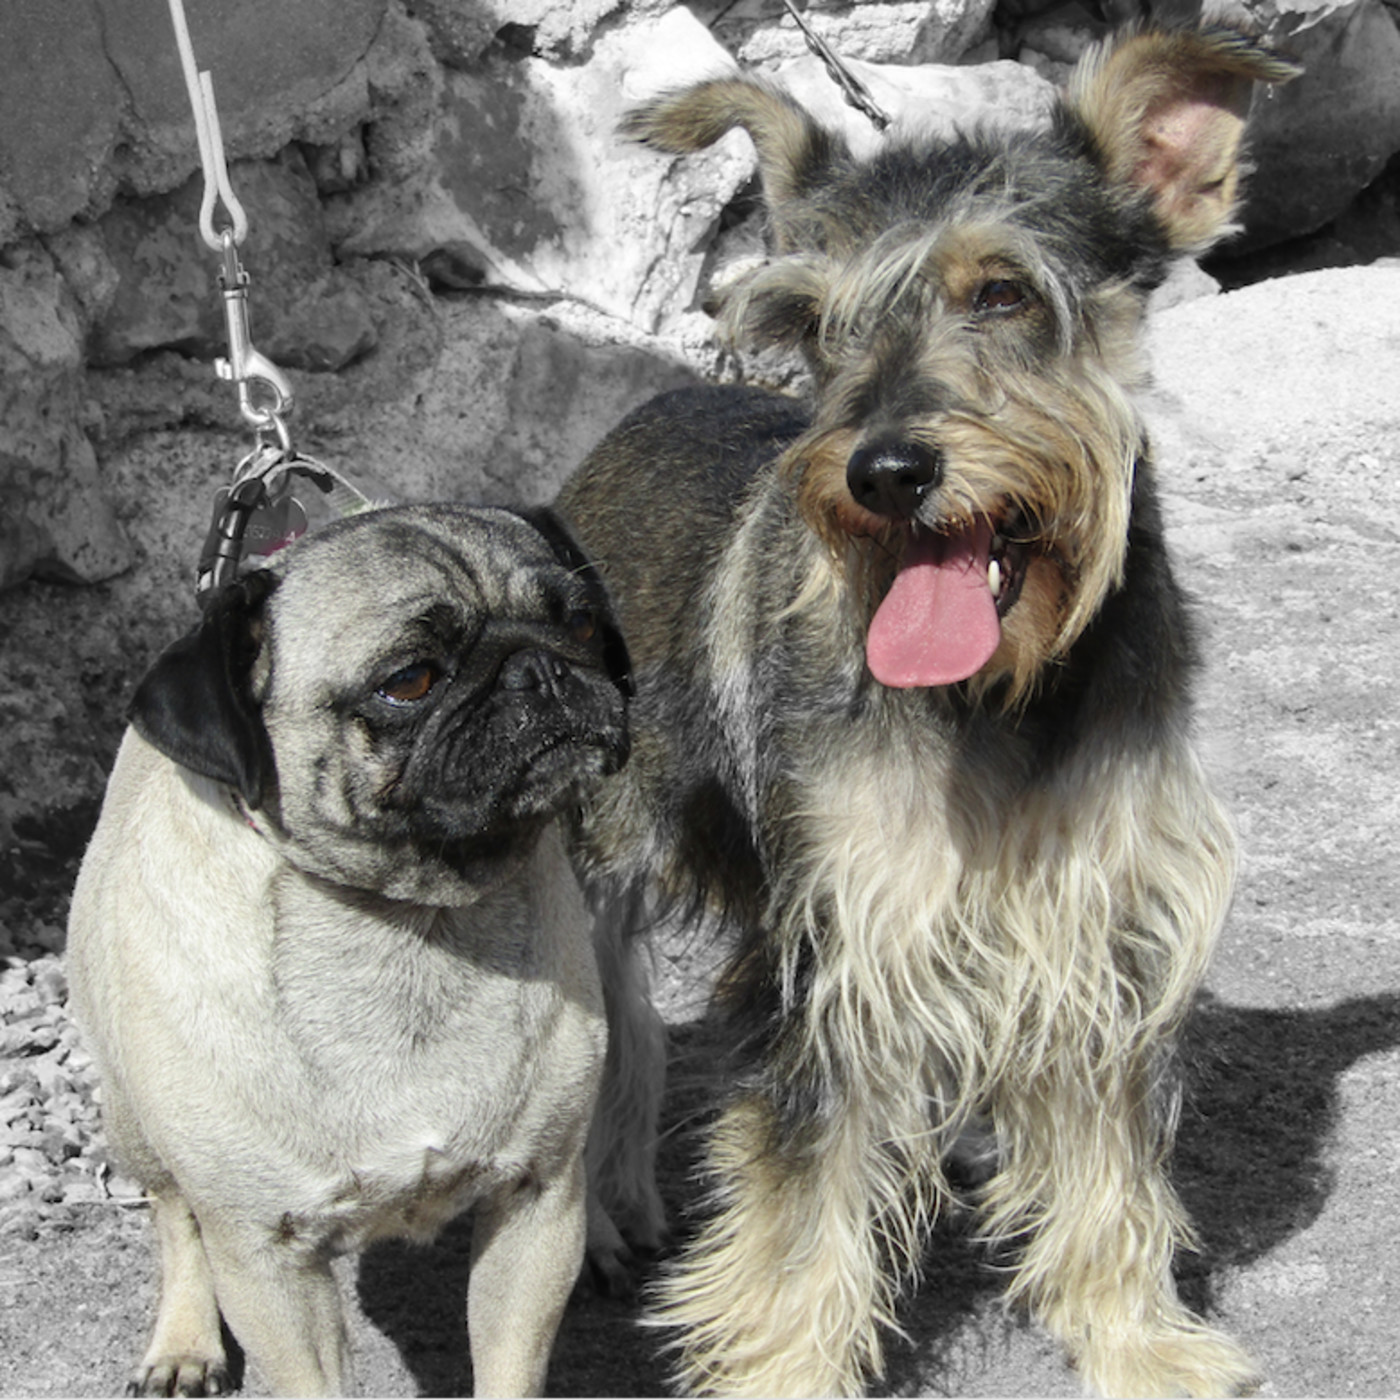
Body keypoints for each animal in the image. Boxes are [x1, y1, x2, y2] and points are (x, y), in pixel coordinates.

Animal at [67, 503, 632, 1397]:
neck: (406, 924)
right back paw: (183, 1342)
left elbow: (511, 1364)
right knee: (174, 1218)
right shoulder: (267, 1257)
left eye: (579, 623)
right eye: (409, 680)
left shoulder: (533, 1202)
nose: (539, 668)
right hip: (132, 1122)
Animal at [555, 23, 1300, 1399]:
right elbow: (801, 1210)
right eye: (814, 325)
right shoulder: (840, 953)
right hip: (603, 855)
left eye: (999, 294)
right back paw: (604, 1206)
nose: (883, 472)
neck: (1004, 696)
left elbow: (1110, 1167)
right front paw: (783, 1368)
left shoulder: (1096, 931)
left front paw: (1133, 1335)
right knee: (613, 1034)